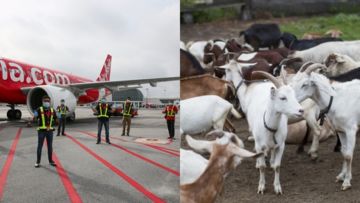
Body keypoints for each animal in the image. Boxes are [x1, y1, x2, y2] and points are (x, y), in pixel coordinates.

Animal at [219, 59, 304, 193]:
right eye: (282, 97)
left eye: (294, 96)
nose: (301, 110)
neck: (270, 127)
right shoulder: (259, 144)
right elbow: (262, 167)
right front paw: (261, 187)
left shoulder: (281, 145)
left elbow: (277, 166)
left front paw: (277, 187)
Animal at [288, 62, 360, 190]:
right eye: (293, 81)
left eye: (305, 84)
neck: (336, 99)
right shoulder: (341, 130)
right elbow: (344, 152)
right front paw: (341, 176)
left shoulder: (351, 130)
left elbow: (348, 155)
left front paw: (347, 182)